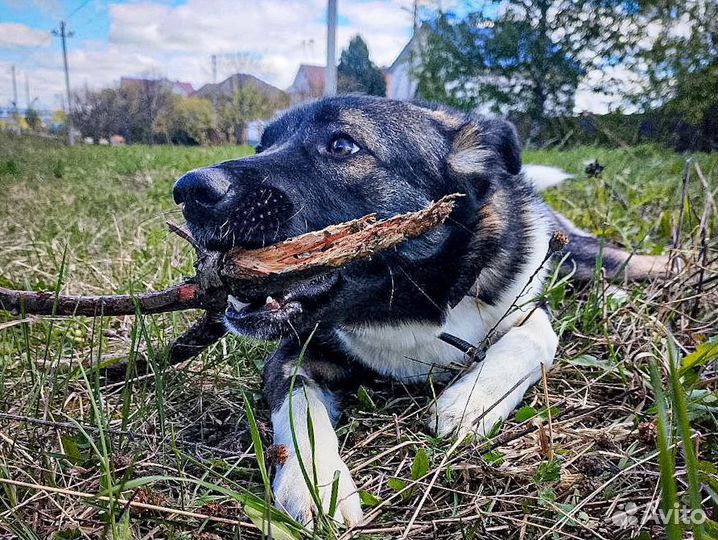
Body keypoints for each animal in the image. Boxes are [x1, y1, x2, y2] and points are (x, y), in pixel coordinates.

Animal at [173, 96, 668, 528]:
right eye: (263, 146)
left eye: (342, 145)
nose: (189, 190)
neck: (407, 303)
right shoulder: (293, 353)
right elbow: (299, 413)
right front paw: (315, 485)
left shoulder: (528, 306)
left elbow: (532, 339)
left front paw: (470, 400)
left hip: (580, 251)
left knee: (627, 262)